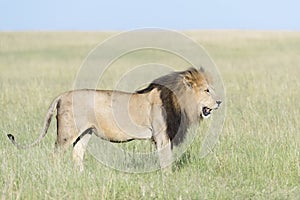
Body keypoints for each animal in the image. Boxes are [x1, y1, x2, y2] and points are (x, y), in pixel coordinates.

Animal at [8, 68, 221, 171]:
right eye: (206, 90)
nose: (219, 101)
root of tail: (62, 95)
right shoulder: (161, 136)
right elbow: (165, 160)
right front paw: (167, 179)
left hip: (85, 133)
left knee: (77, 155)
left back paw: (82, 177)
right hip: (67, 133)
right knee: (56, 155)